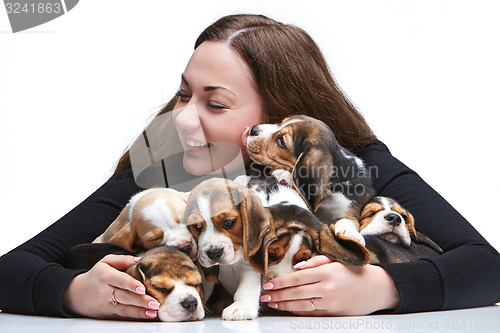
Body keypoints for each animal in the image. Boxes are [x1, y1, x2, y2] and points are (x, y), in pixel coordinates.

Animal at [184, 176, 272, 320]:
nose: (214, 253)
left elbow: (246, 287)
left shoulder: (248, 266)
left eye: (229, 222)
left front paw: (241, 307)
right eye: (196, 226)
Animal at [242, 115, 376, 245]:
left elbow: (350, 219)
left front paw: (350, 233)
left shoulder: (350, 207)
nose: (254, 129)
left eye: (281, 141)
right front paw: (284, 175)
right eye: (281, 122)